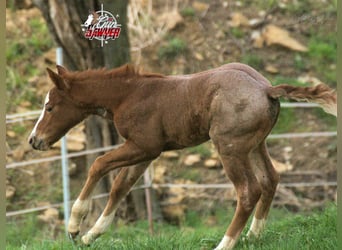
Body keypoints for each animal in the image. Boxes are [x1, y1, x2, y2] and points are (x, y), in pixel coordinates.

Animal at [27, 63, 336, 249]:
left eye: (50, 107)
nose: (34, 140)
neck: (128, 94)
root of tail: (266, 89)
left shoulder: (145, 146)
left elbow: (98, 164)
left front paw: (74, 226)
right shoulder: (143, 153)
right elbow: (119, 187)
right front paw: (91, 235)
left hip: (230, 147)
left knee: (249, 190)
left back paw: (225, 243)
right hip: (255, 145)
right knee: (270, 180)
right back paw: (253, 235)